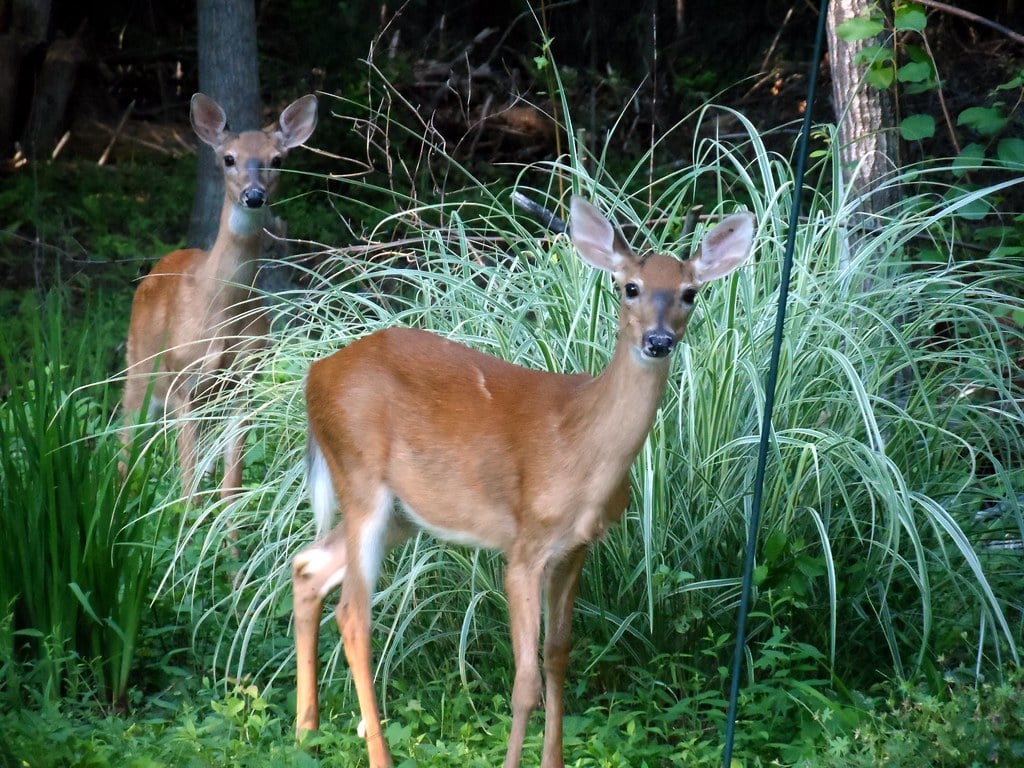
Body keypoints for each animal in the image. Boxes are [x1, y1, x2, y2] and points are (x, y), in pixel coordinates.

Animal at [120, 92, 317, 501]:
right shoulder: (183, 381)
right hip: (139, 371)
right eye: (229, 158)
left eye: (277, 159)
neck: (221, 311)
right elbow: (187, 487)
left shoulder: (246, 381)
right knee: (122, 448)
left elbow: (231, 485)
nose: (253, 195)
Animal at [291, 195, 755, 768]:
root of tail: (314, 375)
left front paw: (554, 759)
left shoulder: (576, 548)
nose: (658, 340)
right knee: (353, 614)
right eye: (630, 286)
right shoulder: (524, 546)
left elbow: (557, 657)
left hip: (404, 513)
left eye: (690, 292)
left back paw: (304, 731)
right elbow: (524, 681)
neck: (581, 446)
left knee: (307, 566)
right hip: (361, 481)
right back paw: (377, 755)